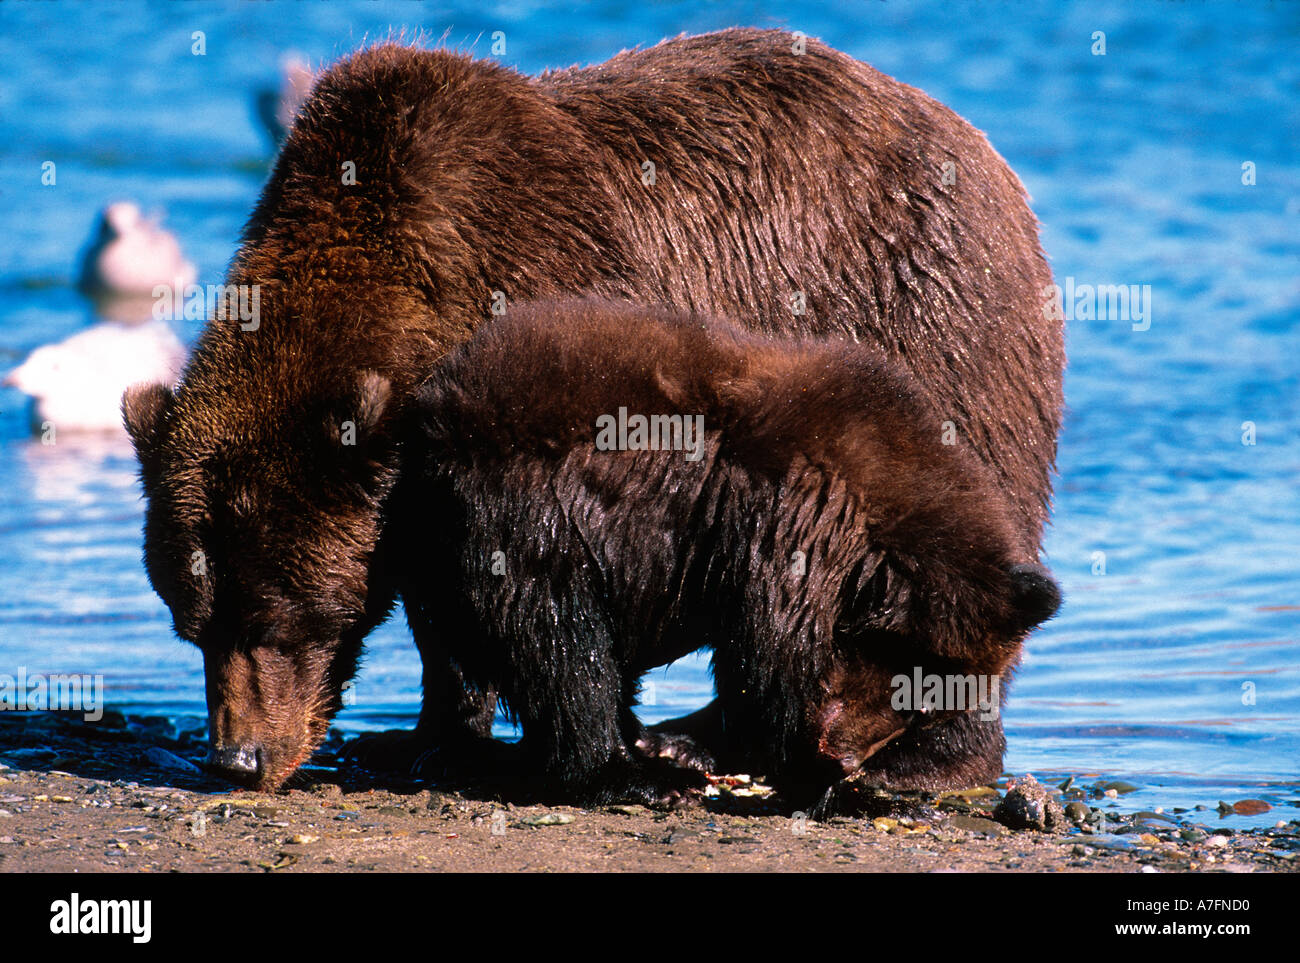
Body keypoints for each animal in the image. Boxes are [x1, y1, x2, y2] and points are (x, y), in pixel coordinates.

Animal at [122, 32, 1060, 795]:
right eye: (189, 621)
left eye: (278, 616)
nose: (236, 757)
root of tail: (983, 150)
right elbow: (438, 604)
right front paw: (428, 735)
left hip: (930, 325)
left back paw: (909, 754)